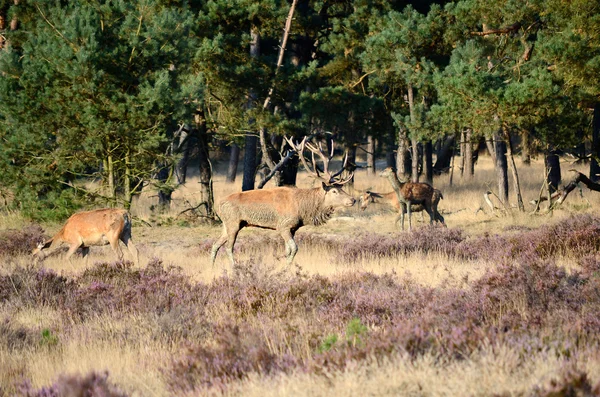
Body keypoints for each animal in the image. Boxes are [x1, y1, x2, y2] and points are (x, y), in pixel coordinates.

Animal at [210, 135, 354, 264]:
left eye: (341, 188)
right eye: (334, 191)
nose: (353, 200)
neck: (303, 210)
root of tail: (218, 205)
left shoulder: (293, 228)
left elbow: (287, 250)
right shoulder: (283, 225)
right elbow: (294, 249)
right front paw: (285, 268)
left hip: (227, 224)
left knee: (215, 245)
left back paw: (212, 268)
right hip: (233, 222)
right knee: (229, 248)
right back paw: (234, 268)